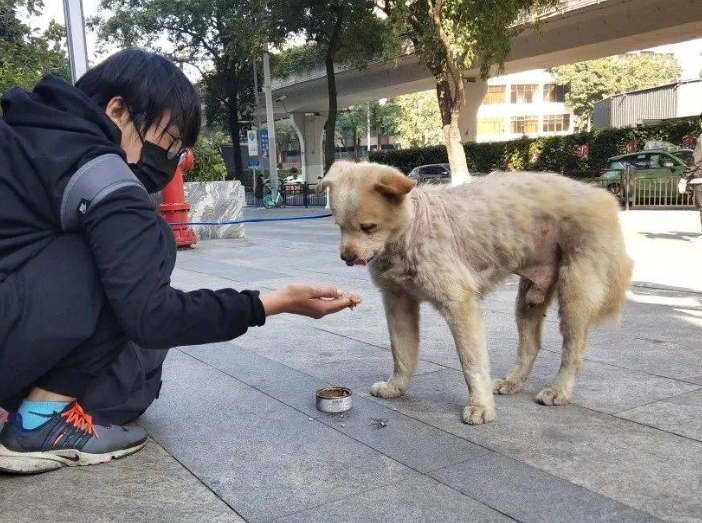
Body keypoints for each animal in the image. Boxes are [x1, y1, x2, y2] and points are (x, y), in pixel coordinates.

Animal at [322, 163, 636, 426]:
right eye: (339, 226)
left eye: (368, 227)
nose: (345, 257)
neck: (411, 233)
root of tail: (601, 195)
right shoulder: (398, 301)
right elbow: (401, 352)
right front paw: (396, 387)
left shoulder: (460, 304)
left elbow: (471, 363)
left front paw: (481, 407)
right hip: (528, 299)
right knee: (531, 345)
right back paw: (513, 382)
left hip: (574, 294)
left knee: (574, 351)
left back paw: (558, 390)